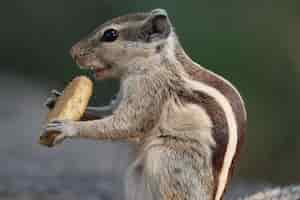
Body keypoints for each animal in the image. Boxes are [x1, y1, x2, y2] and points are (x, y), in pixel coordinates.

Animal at [43, 8, 298, 200]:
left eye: (110, 35)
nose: (73, 52)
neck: (154, 62)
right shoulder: (126, 93)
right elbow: (111, 111)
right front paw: (55, 100)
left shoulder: (150, 91)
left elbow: (127, 124)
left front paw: (67, 127)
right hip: (138, 174)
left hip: (166, 159)